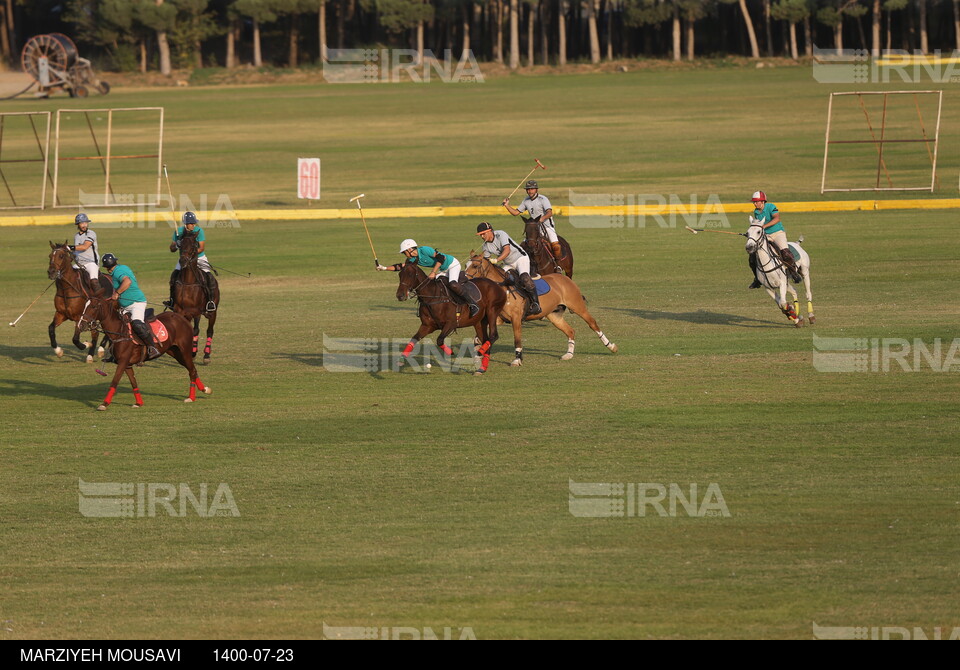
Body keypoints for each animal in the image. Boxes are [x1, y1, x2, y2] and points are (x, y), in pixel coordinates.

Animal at [78, 296, 214, 412]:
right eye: (84, 306)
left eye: (94, 307)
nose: (81, 325)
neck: (118, 331)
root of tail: (181, 316)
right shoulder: (127, 364)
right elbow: (133, 382)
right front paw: (139, 403)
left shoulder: (122, 362)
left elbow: (114, 381)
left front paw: (104, 404)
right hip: (175, 352)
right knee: (192, 369)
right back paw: (204, 389)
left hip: (184, 350)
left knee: (192, 370)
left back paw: (192, 396)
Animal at [172, 232, 220, 368]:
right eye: (180, 244)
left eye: (194, 245)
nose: (183, 261)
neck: (188, 281)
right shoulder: (179, 310)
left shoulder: (196, 310)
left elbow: (195, 330)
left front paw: (194, 353)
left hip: (213, 311)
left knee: (209, 331)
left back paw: (206, 355)